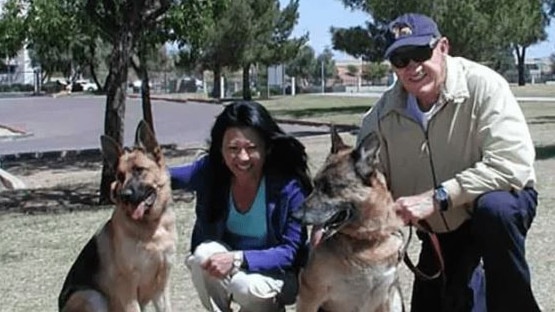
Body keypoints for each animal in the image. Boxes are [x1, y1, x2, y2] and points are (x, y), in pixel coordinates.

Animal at [59, 120, 177, 312]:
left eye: (139, 170)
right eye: (120, 176)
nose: (124, 195)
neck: (151, 226)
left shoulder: (161, 286)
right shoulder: (128, 288)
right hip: (92, 296)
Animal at [294, 129, 406, 312]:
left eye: (329, 188)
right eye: (315, 184)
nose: (294, 216)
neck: (366, 240)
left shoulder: (386, 297)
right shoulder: (310, 293)